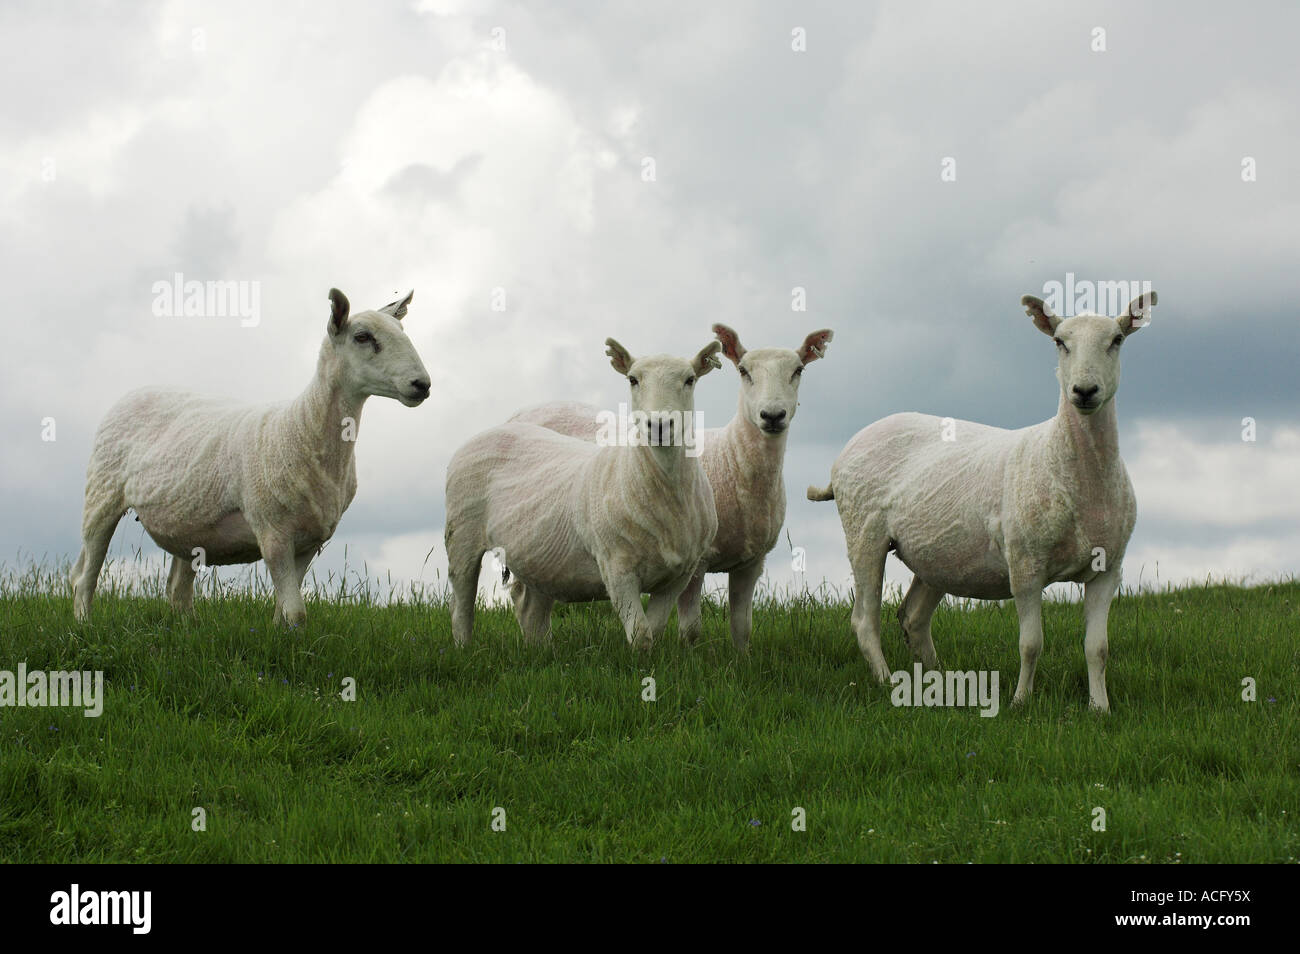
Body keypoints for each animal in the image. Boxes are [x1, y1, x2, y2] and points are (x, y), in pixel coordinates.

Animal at [512, 327, 837, 649]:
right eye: (744, 371)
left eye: (798, 370)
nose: (772, 415)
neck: (733, 460)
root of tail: (522, 413)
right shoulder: (697, 561)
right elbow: (691, 628)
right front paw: (686, 656)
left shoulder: (752, 561)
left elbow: (742, 627)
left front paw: (741, 658)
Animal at [800, 295, 1159, 712]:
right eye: (1059, 342)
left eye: (1117, 340)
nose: (1084, 390)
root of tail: (848, 448)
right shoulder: (1025, 564)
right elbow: (1031, 644)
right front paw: (1020, 702)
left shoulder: (1108, 569)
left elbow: (1097, 648)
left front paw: (1100, 709)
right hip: (863, 532)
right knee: (864, 619)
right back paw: (887, 681)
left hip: (937, 555)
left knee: (913, 618)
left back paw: (939, 682)